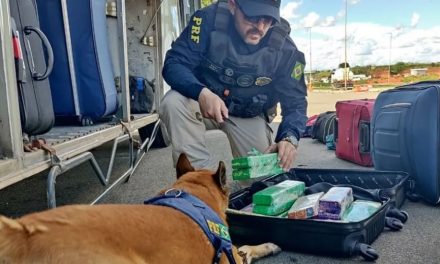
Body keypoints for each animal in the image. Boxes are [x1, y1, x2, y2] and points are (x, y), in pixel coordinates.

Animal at [0, 155, 280, 264]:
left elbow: (245, 248)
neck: (193, 192)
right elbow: (245, 249)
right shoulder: (227, 256)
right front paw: (267, 245)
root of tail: (23, 234)